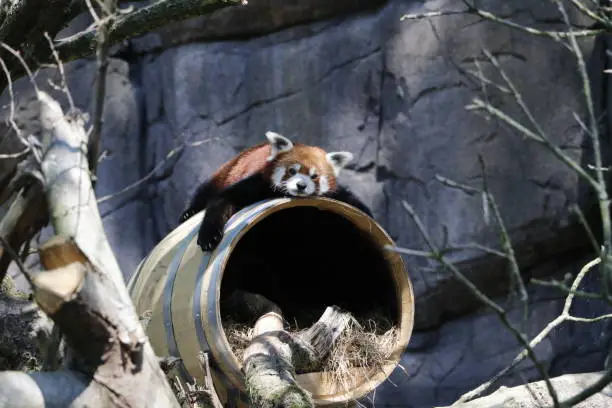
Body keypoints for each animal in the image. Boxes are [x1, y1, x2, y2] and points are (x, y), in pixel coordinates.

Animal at [179, 132, 372, 250]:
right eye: (292, 171)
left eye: (314, 176)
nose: (301, 186)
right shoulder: (258, 181)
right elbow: (223, 199)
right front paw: (208, 236)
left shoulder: (334, 192)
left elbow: (350, 198)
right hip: (227, 170)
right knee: (206, 189)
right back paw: (189, 212)